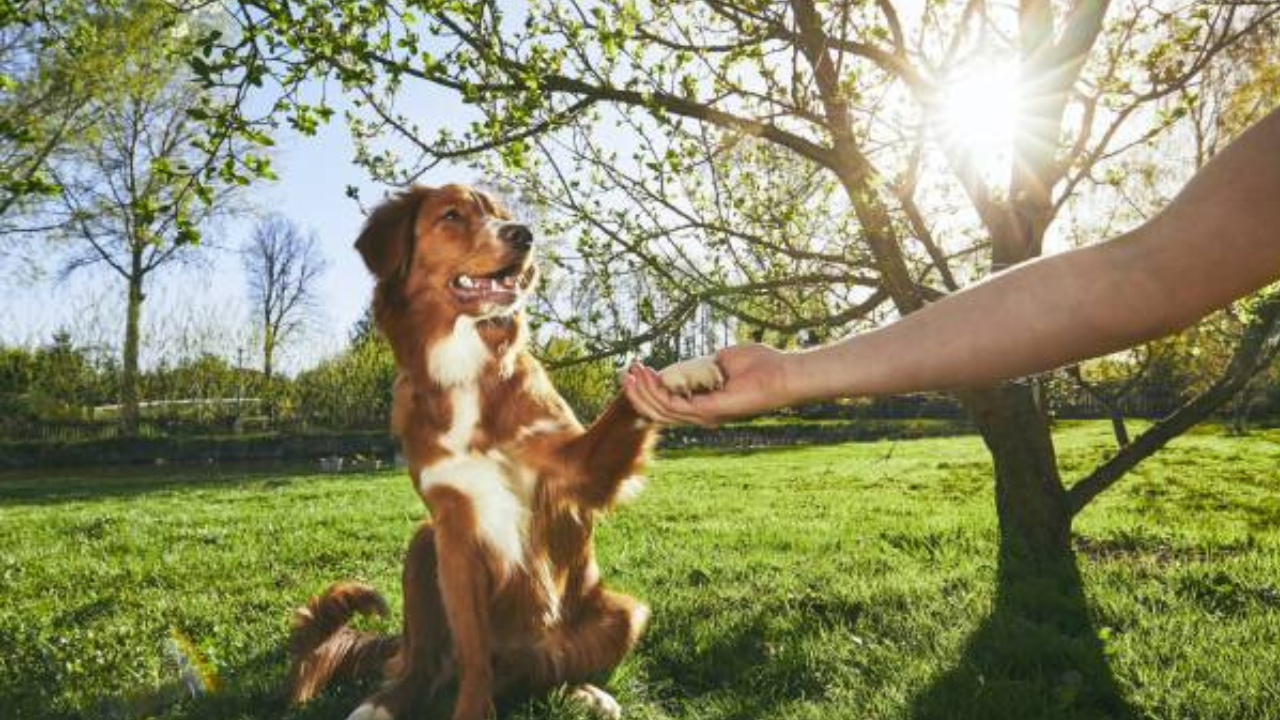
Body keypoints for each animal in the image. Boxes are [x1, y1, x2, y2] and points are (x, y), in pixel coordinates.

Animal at [285, 183, 721, 717]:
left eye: (502, 214)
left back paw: (585, 693)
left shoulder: (576, 471)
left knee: (541, 675)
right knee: (426, 666)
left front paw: (680, 374)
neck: (467, 369)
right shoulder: (453, 528)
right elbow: (474, 657)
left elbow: (626, 404)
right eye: (452, 215)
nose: (524, 234)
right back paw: (383, 703)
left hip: (624, 613)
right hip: (423, 544)